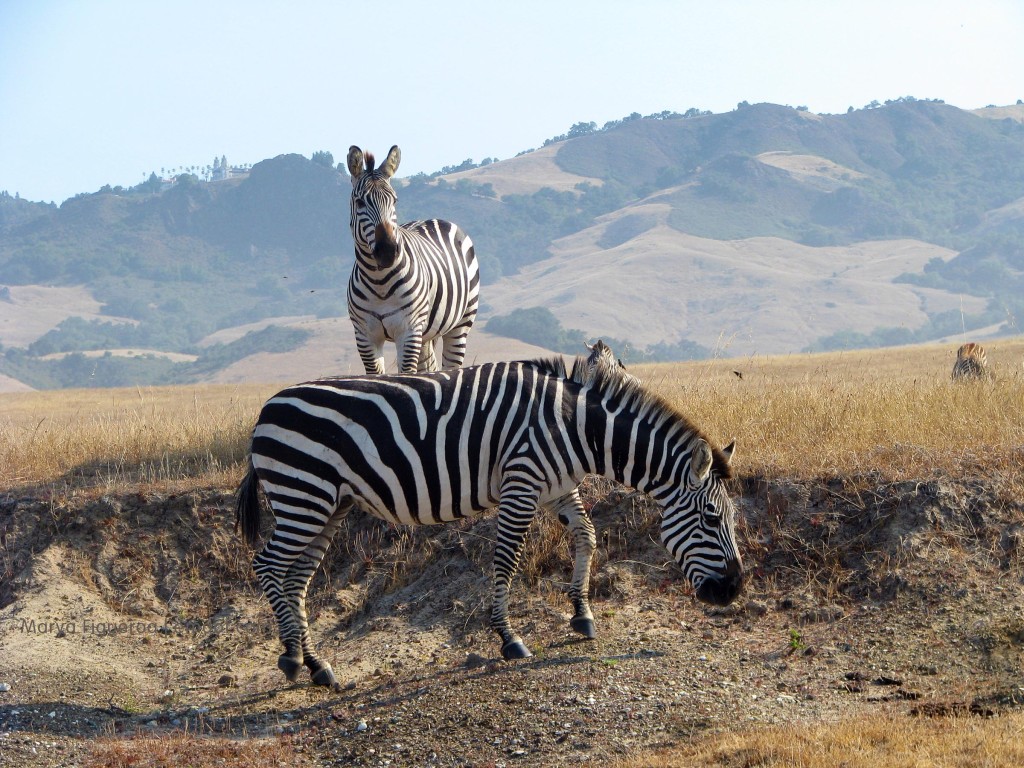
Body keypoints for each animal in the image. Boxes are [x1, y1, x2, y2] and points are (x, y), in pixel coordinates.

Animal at [234, 346, 741, 688]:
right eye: (712, 519)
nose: (733, 591)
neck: (575, 427)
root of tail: (265, 408)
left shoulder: (558, 487)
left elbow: (588, 537)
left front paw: (581, 614)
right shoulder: (522, 482)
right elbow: (507, 561)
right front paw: (508, 638)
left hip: (328, 505)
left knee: (296, 576)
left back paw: (314, 663)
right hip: (303, 494)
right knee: (268, 565)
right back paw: (293, 660)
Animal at [344, 146, 479, 376]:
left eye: (394, 200)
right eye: (360, 202)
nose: (388, 251)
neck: (379, 281)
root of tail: (434, 219)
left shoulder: (408, 331)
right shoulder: (364, 335)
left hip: (460, 324)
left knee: (450, 366)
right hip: (425, 334)